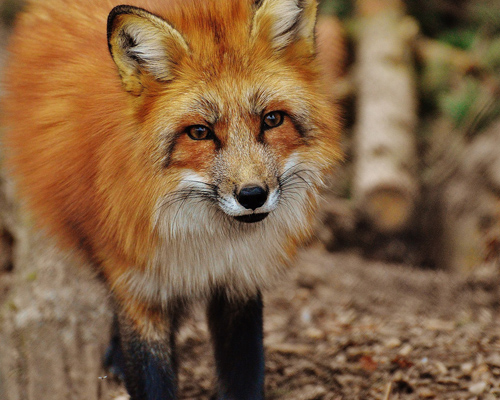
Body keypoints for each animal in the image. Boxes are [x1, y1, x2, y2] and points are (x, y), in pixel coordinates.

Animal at [1, 0, 340, 398]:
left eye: (272, 119)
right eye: (199, 132)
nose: (253, 195)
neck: (206, 241)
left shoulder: (239, 281)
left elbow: (244, 373)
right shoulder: (138, 286)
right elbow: (150, 370)